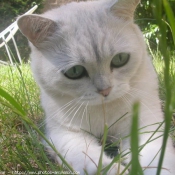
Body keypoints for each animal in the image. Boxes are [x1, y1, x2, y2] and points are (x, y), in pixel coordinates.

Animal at [17, 0, 174, 174]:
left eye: (120, 59)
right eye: (74, 71)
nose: (105, 91)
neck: (104, 111)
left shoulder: (146, 125)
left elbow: (158, 160)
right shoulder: (64, 134)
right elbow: (93, 161)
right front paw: (116, 170)